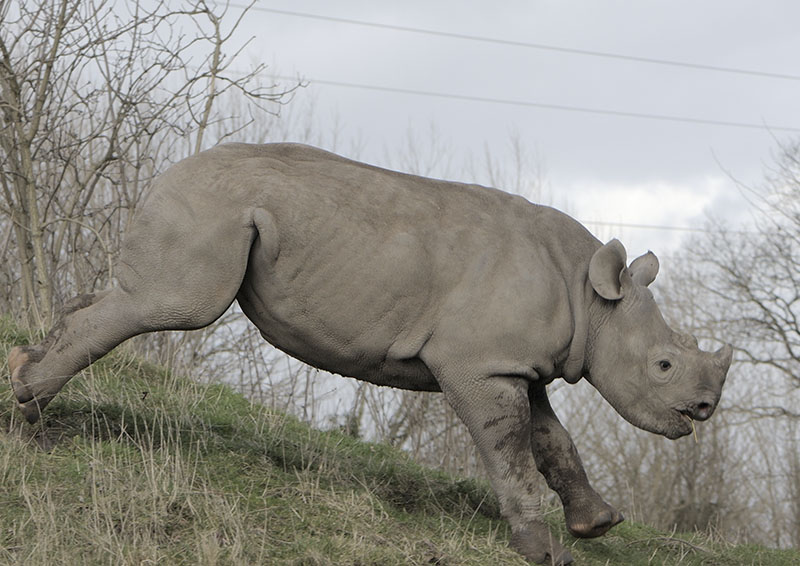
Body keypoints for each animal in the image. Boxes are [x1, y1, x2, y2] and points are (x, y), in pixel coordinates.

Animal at [8, 143, 732, 565]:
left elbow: (553, 441)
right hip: (210, 207)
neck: (590, 295)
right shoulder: (480, 363)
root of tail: (167, 172)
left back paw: (27, 389)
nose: (703, 409)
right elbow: (511, 451)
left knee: (139, 300)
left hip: (213, 207)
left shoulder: (516, 365)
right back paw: (30, 413)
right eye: (663, 366)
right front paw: (543, 551)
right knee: (172, 306)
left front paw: (598, 524)